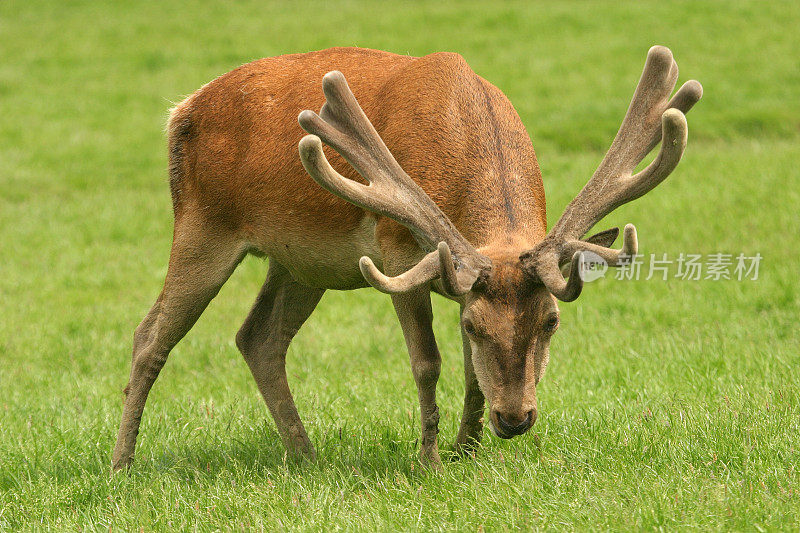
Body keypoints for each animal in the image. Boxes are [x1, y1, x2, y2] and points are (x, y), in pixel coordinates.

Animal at [111, 46, 700, 470]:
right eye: (475, 326)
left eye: (551, 323)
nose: (515, 419)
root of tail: (182, 110)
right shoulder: (397, 254)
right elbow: (427, 362)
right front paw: (431, 460)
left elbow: (470, 374)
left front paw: (468, 450)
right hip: (201, 223)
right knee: (149, 337)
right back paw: (122, 465)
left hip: (299, 264)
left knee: (257, 337)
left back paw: (306, 456)